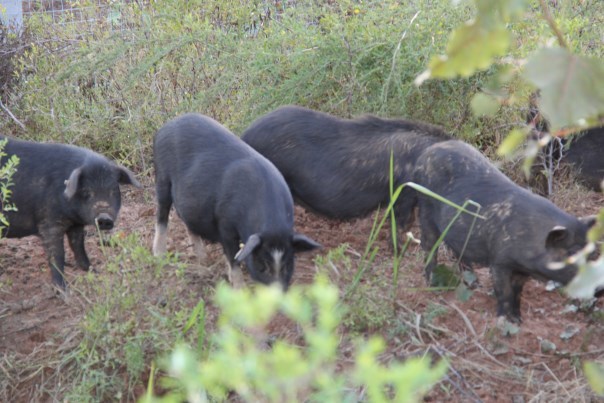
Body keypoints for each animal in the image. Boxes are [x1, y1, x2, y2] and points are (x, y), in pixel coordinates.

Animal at [0, 136, 142, 290]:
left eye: (114, 190)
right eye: (86, 191)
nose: (104, 217)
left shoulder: (76, 224)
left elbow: (78, 246)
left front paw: (93, 271)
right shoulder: (49, 222)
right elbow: (57, 254)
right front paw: (62, 289)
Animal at [152, 113, 320, 290]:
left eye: (288, 265)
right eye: (262, 266)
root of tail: (167, 125)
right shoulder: (225, 224)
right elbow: (233, 258)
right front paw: (239, 289)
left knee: (187, 220)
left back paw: (202, 257)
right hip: (162, 178)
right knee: (162, 214)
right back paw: (159, 255)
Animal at [406, 140, 596, 324]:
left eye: (593, 252)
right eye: (572, 253)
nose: (599, 288)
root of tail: (426, 152)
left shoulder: (521, 270)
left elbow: (517, 293)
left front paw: (518, 321)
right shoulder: (499, 261)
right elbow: (504, 292)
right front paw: (504, 321)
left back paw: (475, 285)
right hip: (425, 206)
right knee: (429, 245)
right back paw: (432, 285)